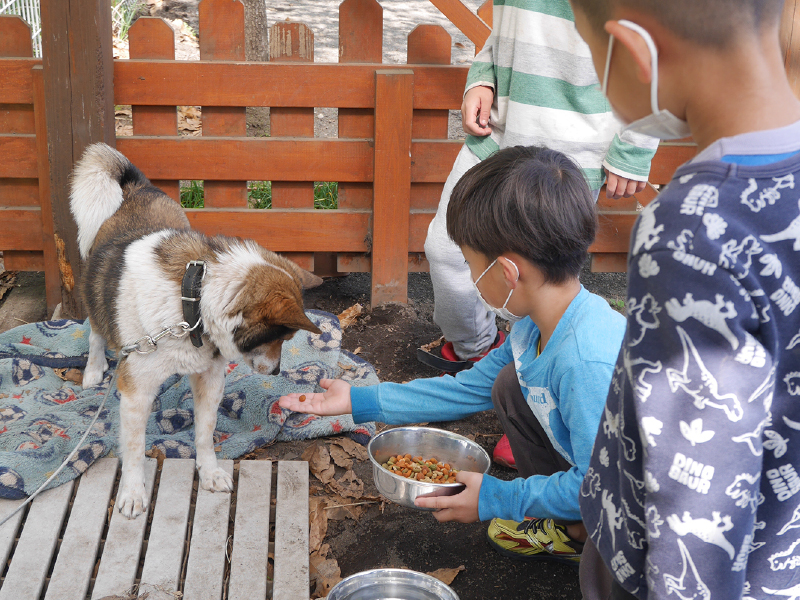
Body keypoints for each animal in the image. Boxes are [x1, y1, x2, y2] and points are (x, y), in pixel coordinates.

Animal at [69, 143, 318, 516]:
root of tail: (137, 188)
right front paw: (133, 492)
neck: (193, 303)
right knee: (96, 332)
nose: (276, 371)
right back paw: (94, 369)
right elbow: (133, 450)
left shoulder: (210, 379)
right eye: (283, 337)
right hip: (96, 296)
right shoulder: (135, 391)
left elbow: (205, 432)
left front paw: (210, 472)